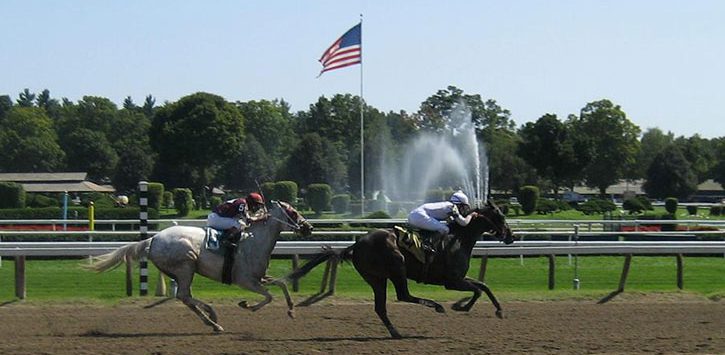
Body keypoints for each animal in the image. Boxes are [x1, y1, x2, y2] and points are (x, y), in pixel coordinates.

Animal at [87, 202, 312, 332]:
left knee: (186, 297)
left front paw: (291, 310)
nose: (308, 227)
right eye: (293, 211)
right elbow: (269, 296)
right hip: (185, 266)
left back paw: (212, 322)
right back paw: (213, 316)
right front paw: (247, 305)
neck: (253, 241)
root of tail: (153, 239)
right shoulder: (245, 280)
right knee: (183, 296)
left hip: (183, 271)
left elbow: (281, 284)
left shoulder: (260, 277)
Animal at [286, 200, 512, 340]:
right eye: (501, 217)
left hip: (376, 278)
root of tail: (356, 244)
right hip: (397, 266)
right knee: (403, 295)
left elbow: (483, 285)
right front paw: (461, 306)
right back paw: (437, 306)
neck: (458, 238)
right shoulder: (452, 281)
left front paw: (498, 310)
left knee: (381, 307)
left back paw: (395, 332)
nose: (510, 237)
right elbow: (478, 289)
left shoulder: (459, 278)